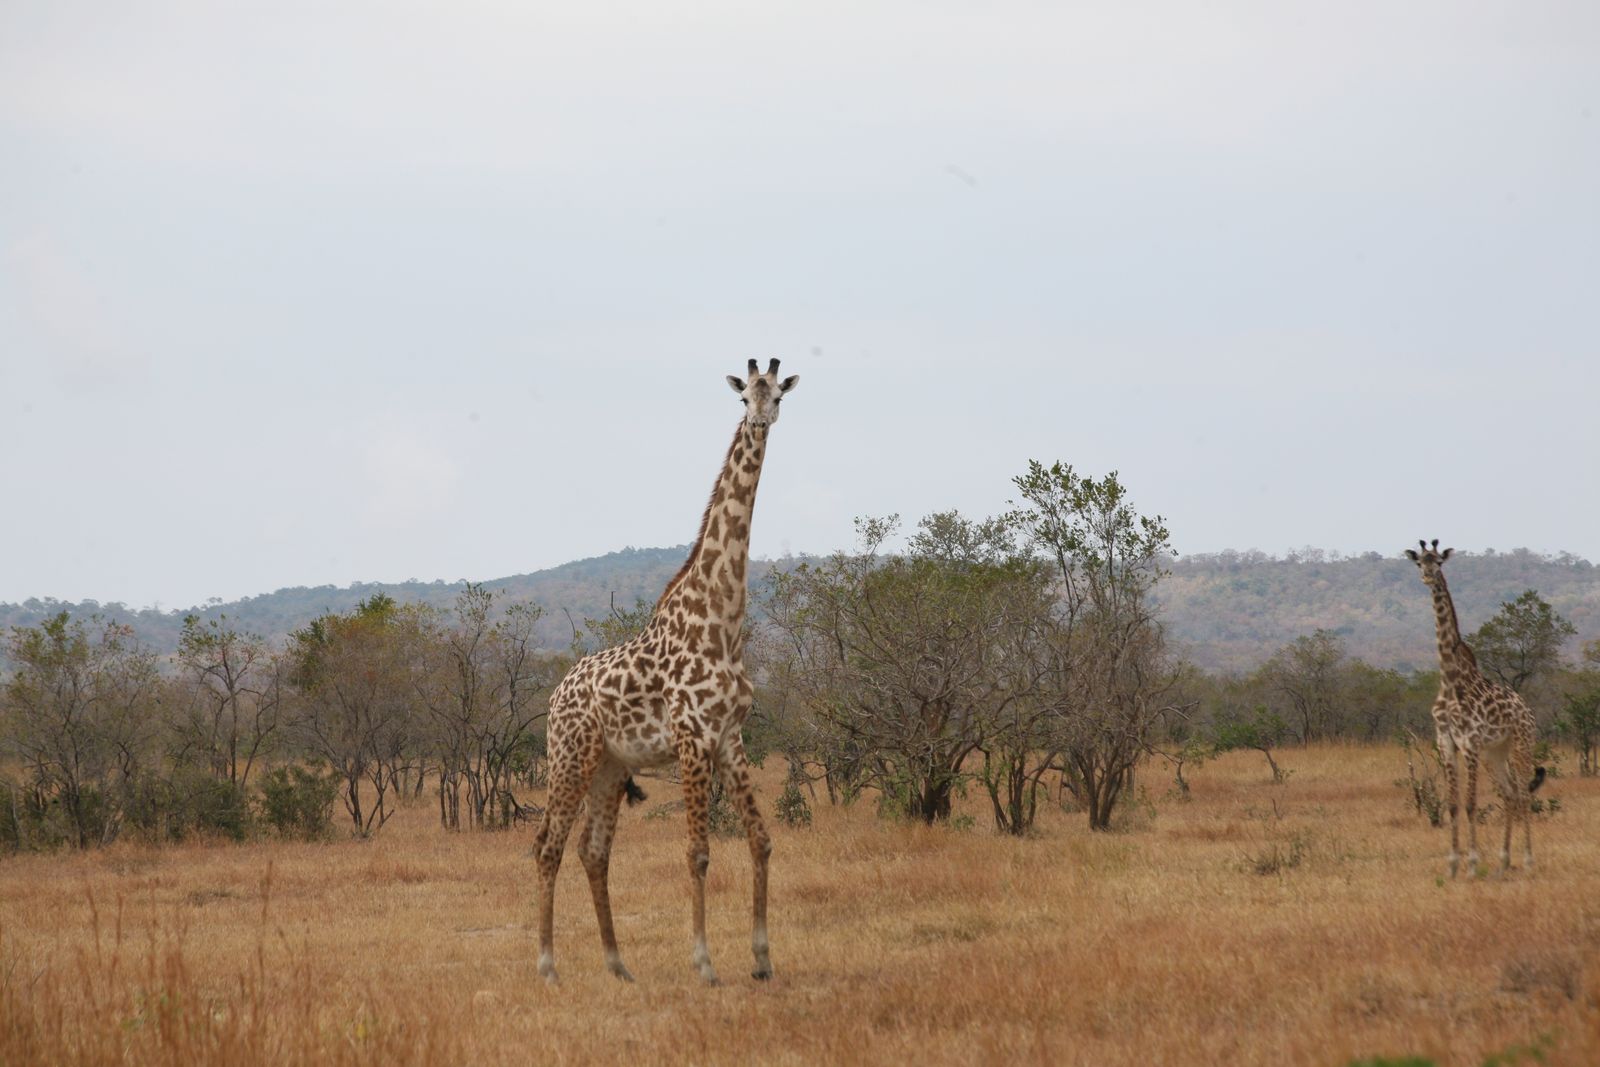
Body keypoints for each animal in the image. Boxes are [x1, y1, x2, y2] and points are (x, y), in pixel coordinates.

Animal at [531, 356, 800, 985]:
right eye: (743, 398)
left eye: (777, 394)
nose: (760, 420)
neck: (723, 621)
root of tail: (555, 696)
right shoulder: (691, 736)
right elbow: (698, 852)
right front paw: (705, 963)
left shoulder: (730, 737)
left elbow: (761, 841)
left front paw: (762, 959)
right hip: (570, 756)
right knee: (548, 847)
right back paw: (548, 966)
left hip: (608, 767)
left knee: (593, 851)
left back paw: (617, 965)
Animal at [1408, 537, 1542, 883]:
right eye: (1420, 562)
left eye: (1439, 562)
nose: (1427, 576)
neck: (1449, 679)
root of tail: (1529, 710)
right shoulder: (1446, 742)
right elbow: (1453, 805)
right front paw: (1453, 865)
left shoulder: (1469, 742)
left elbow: (1469, 805)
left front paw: (1470, 865)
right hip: (1494, 752)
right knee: (1510, 793)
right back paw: (1503, 863)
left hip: (1521, 744)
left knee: (1524, 793)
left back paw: (1528, 861)